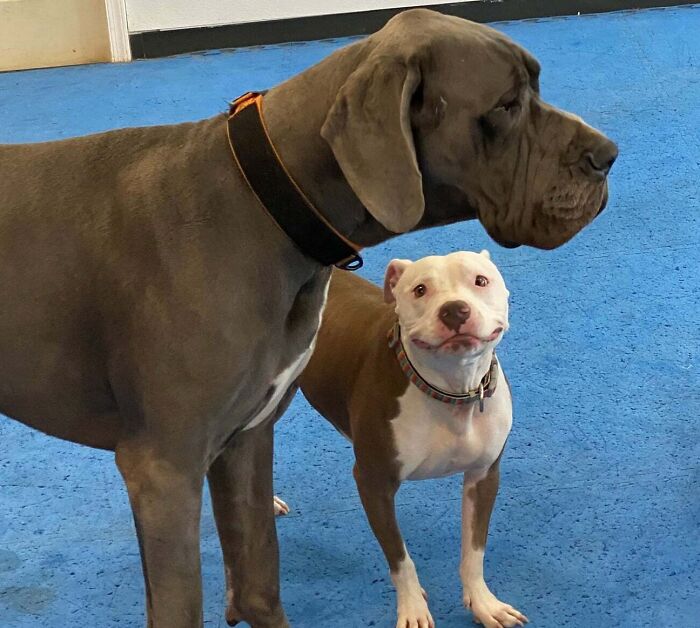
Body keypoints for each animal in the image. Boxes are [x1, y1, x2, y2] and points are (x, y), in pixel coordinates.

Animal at [294, 251, 524, 628]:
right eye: (420, 289)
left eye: (480, 280)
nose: (455, 309)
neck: (452, 392)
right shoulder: (373, 482)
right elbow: (400, 559)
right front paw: (413, 608)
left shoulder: (484, 475)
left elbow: (474, 549)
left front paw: (483, 603)